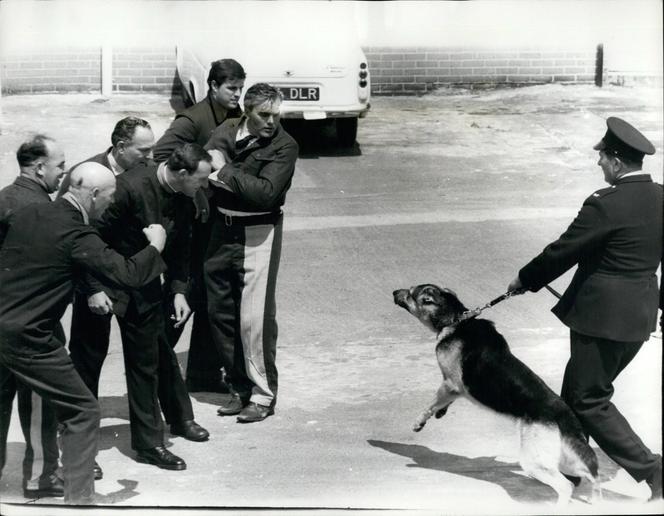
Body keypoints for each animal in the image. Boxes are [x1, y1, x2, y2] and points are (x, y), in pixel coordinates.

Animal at [392, 282, 600, 504]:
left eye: (410, 294)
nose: (394, 292)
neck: (456, 319)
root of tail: (566, 417)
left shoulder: (450, 384)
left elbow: (430, 405)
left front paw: (419, 422)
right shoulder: (453, 389)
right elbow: (440, 404)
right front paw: (441, 412)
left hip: (534, 460)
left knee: (567, 485)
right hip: (565, 458)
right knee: (590, 475)